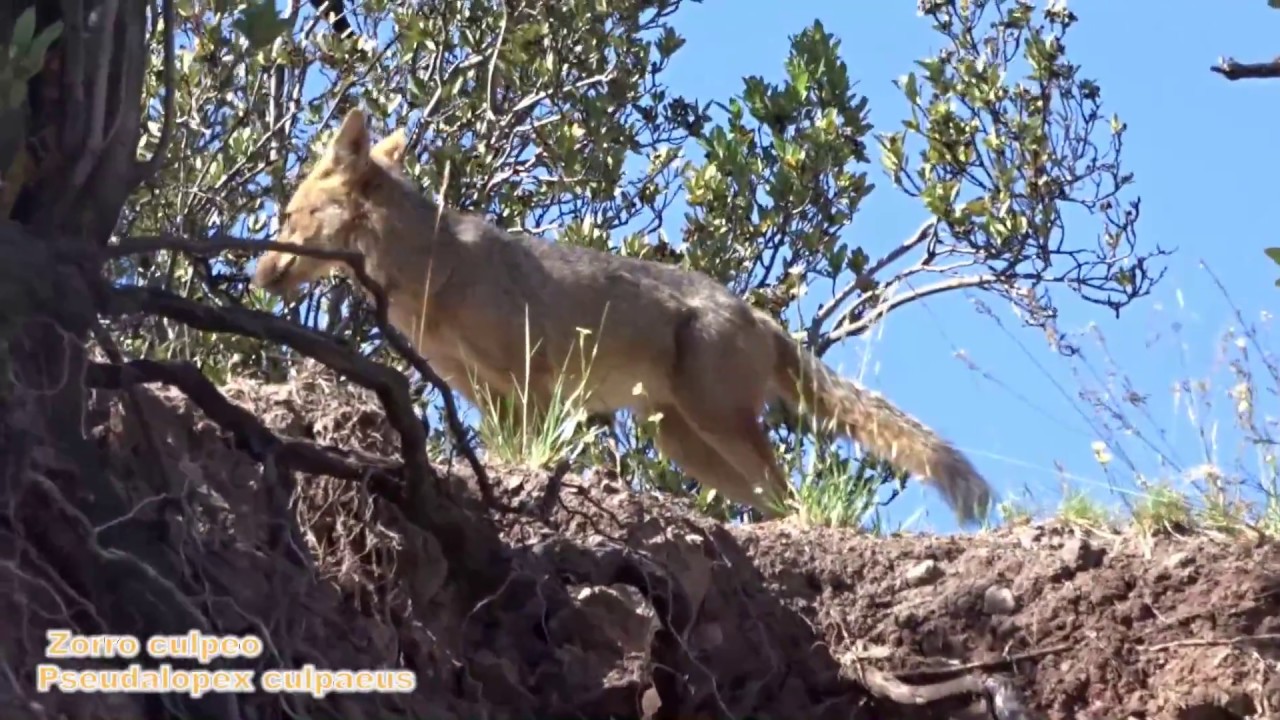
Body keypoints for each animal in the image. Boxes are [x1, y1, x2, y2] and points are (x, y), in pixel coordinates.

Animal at [251, 108, 994, 524]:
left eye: (288, 216)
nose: (258, 276)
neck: (431, 275)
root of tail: (758, 314)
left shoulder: (531, 381)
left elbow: (527, 452)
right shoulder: (483, 393)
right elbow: (499, 451)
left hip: (716, 429)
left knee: (793, 490)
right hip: (688, 445)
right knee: (779, 495)